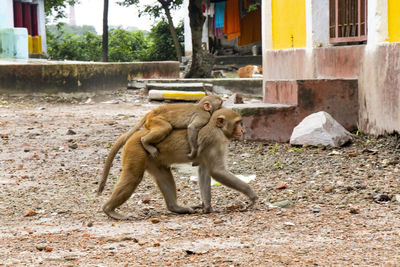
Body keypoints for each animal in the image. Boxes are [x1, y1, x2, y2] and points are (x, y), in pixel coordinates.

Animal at [98, 108, 258, 220]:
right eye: (237, 123)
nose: (242, 129)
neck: (216, 127)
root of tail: (139, 133)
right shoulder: (215, 140)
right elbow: (216, 171)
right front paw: (251, 195)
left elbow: (204, 171)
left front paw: (207, 207)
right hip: (135, 150)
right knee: (133, 177)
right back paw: (109, 210)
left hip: (153, 159)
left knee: (164, 174)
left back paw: (175, 207)